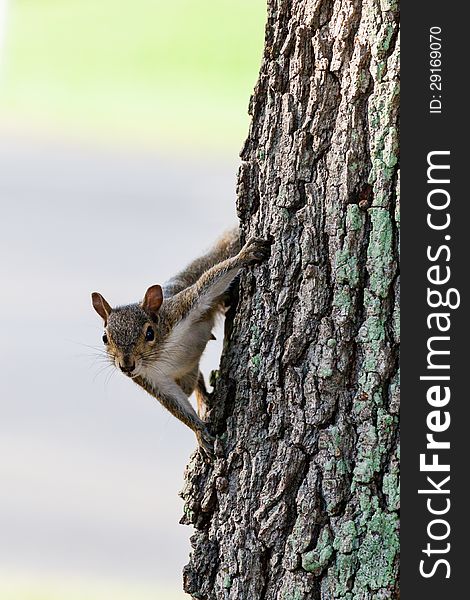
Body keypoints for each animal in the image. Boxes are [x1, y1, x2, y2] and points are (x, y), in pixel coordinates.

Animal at [90, 227, 270, 458]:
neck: (161, 354)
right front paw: (199, 432)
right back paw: (204, 402)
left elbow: (206, 285)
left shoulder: (182, 308)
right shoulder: (151, 380)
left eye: (150, 333)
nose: (126, 366)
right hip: (186, 376)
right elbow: (175, 404)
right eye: (105, 338)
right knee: (196, 381)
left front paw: (244, 255)